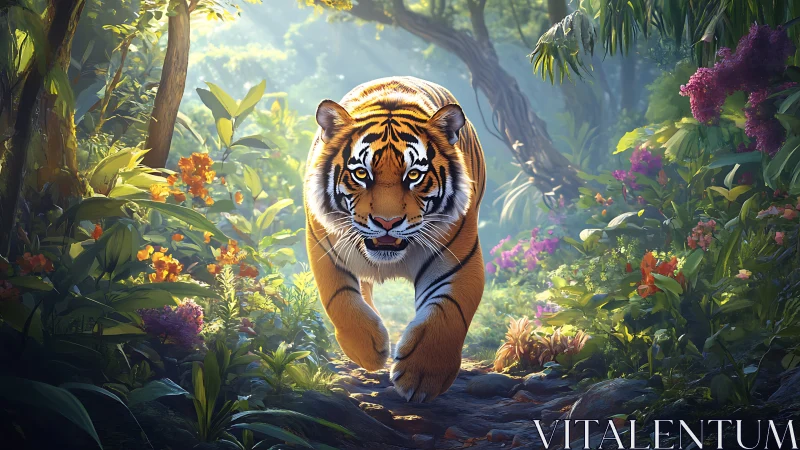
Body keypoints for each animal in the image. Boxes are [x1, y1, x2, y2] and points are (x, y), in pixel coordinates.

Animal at [303, 76, 486, 403]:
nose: (387, 223)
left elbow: (449, 312)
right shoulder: (324, 248)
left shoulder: (458, 261)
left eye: (413, 175)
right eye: (361, 173)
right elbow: (340, 299)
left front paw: (422, 375)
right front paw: (369, 350)